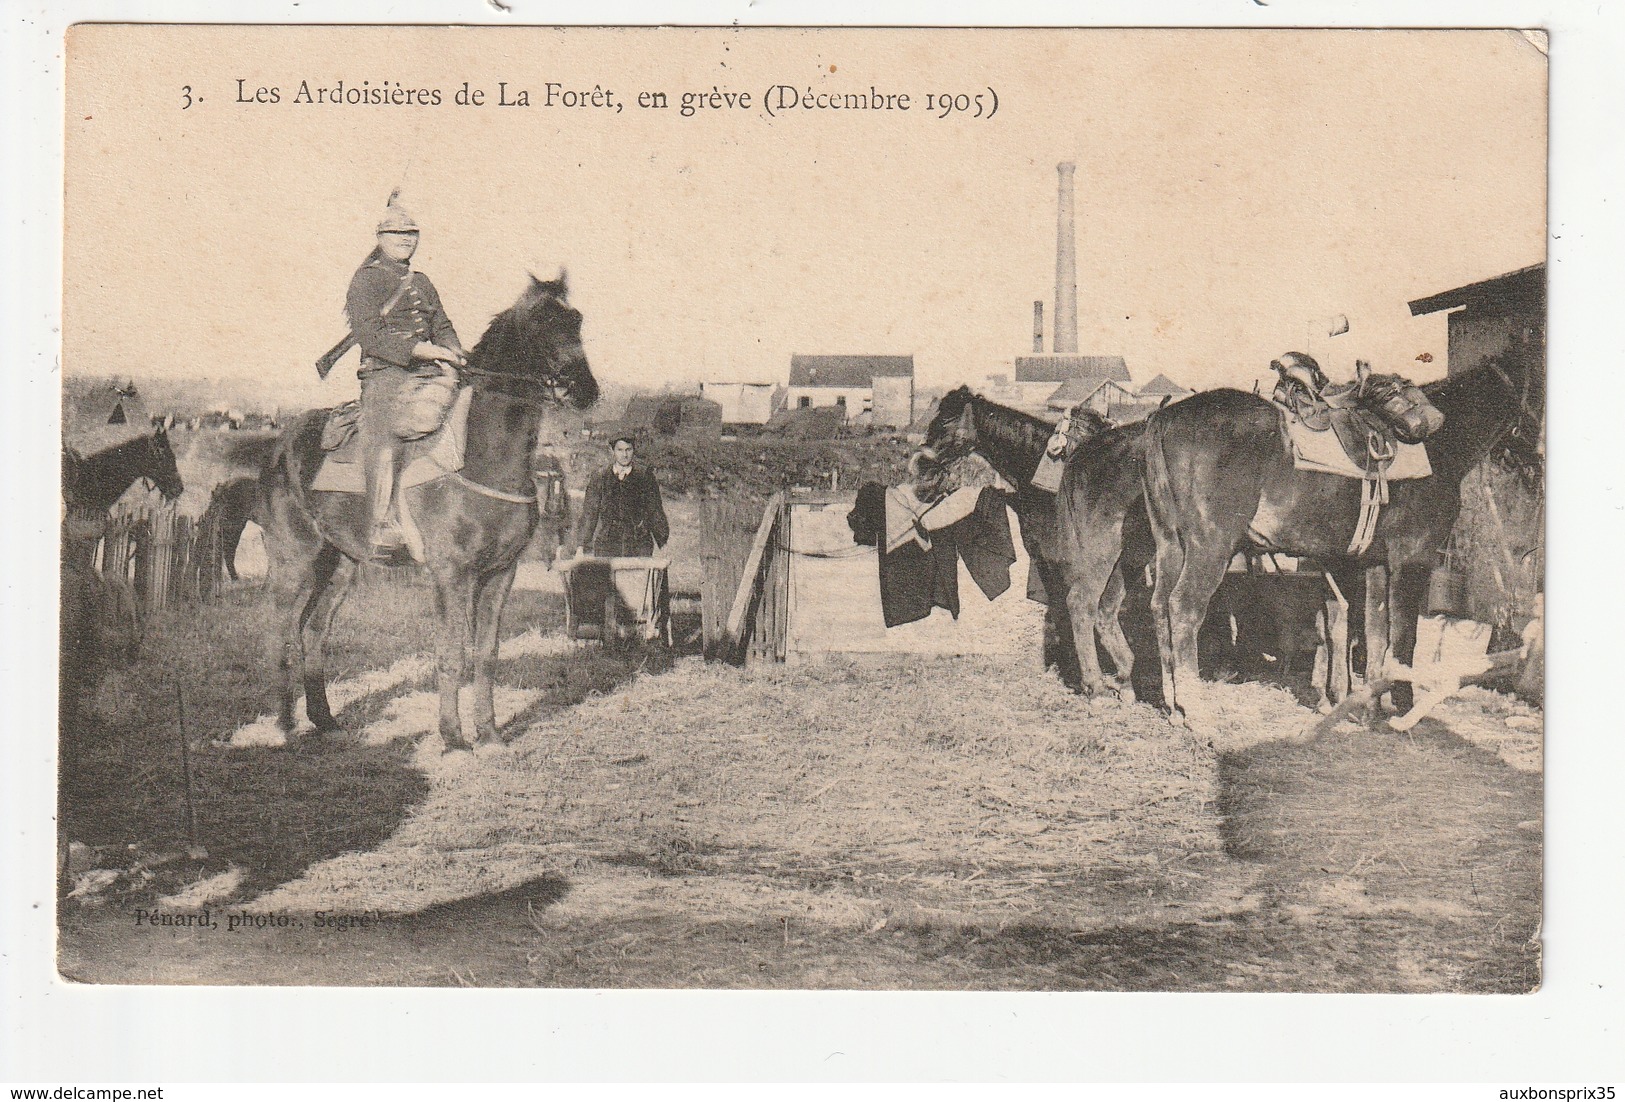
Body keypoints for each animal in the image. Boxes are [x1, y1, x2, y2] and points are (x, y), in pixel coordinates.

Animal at [260, 274, 598, 750]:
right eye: (542, 322)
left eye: (576, 319)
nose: (585, 389)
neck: (479, 457)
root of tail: (280, 443)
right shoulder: (448, 574)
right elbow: (451, 653)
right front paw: (453, 736)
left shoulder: (501, 572)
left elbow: (486, 654)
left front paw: (489, 733)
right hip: (295, 560)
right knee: (280, 631)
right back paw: (282, 727)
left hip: (340, 565)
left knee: (314, 632)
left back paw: (324, 720)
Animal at [1137, 354, 1540, 724]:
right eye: (1537, 391)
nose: (1537, 458)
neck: (1439, 445)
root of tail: (1164, 418)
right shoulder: (1412, 559)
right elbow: (1403, 636)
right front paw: (1403, 705)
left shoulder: (1372, 562)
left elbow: (1372, 632)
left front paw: (1365, 705)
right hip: (1211, 547)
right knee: (1184, 608)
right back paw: (1195, 709)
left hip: (1171, 545)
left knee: (1159, 606)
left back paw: (1173, 702)